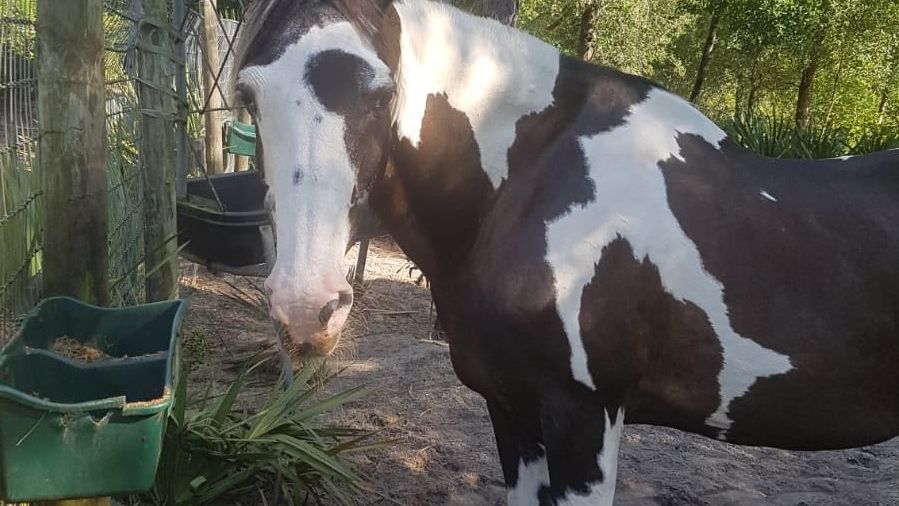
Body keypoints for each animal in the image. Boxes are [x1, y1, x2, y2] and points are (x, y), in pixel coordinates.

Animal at [232, 1, 899, 503]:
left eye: (380, 92)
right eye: (248, 95)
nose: (306, 307)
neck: (531, 184)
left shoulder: (585, 421)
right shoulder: (514, 414)